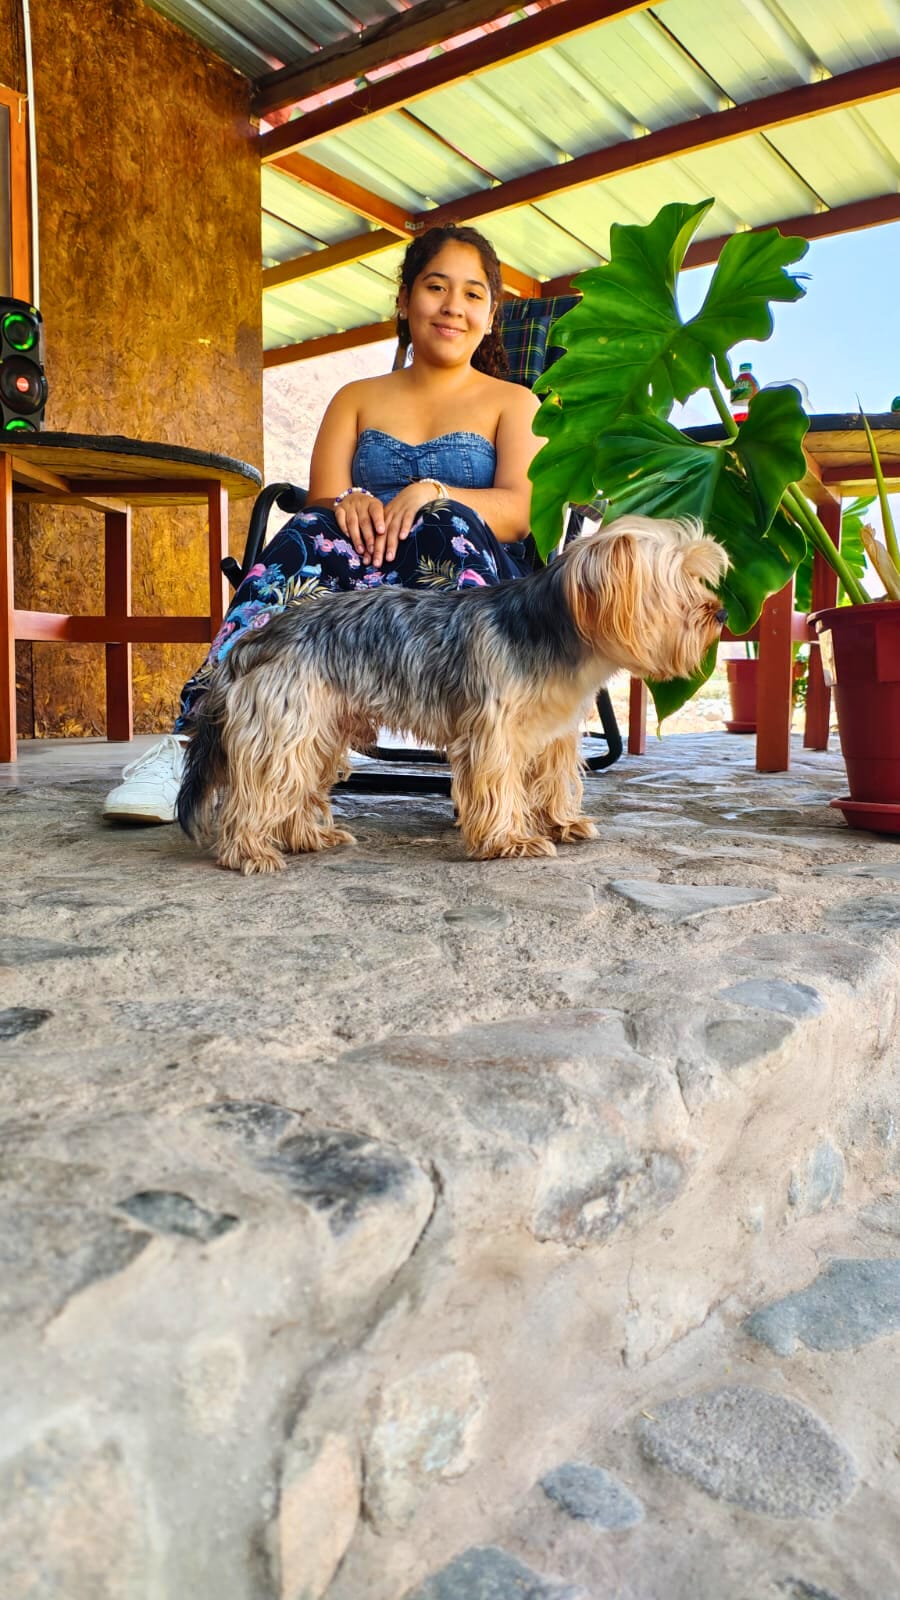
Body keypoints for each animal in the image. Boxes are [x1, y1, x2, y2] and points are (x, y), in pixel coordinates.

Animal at [177, 516, 728, 874]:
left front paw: (560, 823)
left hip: (318, 728)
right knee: (263, 787)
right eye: (680, 584)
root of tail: (252, 641)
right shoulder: (494, 731)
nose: (720, 613)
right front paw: (510, 840)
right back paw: (249, 852)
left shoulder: (555, 731)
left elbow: (553, 780)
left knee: (297, 782)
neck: (555, 632)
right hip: (287, 721)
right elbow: (499, 785)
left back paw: (307, 836)